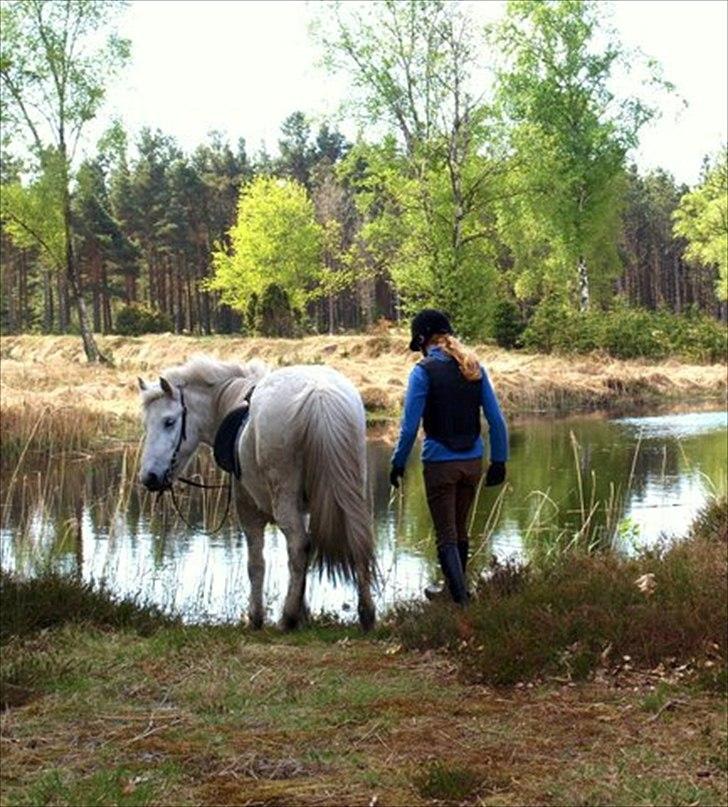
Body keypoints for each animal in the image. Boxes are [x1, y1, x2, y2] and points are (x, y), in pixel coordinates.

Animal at [136, 356, 376, 636]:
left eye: (169, 422)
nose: (149, 477)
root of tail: (320, 395)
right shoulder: (302, 510)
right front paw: (303, 612)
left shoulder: (248, 511)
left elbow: (256, 564)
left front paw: (257, 617)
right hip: (350, 491)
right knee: (356, 540)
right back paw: (366, 615)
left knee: (298, 545)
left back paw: (287, 618)